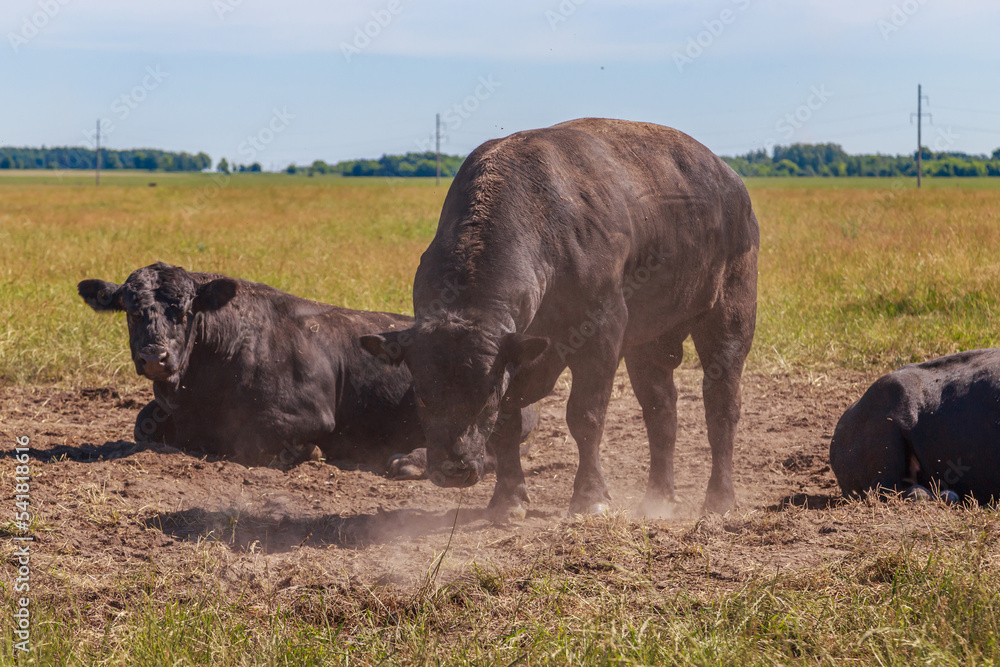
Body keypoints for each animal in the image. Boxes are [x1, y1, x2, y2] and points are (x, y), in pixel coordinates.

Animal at [78, 262, 537, 475]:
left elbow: (255, 443)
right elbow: (142, 427)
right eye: (131, 311)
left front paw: (311, 454)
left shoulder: (306, 416)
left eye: (185, 310)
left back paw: (409, 460)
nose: (155, 357)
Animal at [361, 118, 759, 518]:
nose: (455, 470)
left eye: (486, 396)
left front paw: (590, 496)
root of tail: (730, 180)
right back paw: (657, 498)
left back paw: (720, 499)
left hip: (729, 317)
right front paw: (507, 499)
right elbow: (508, 424)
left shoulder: (602, 334)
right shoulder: (521, 356)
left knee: (721, 405)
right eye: (422, 395)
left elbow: (585, 415)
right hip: (649, 343)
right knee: (660, 410)